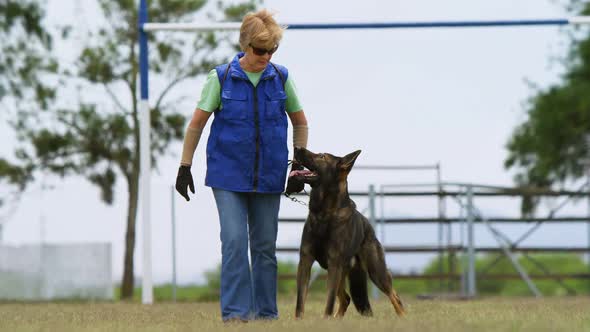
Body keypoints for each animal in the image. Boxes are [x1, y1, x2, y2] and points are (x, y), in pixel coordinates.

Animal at [292, 147, 408, 318]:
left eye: (322, 156)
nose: (296, 148)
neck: (324, 214)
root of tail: (368, 226)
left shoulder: (334, 264)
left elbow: (329, 303)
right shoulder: (306, 262)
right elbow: (300, 302)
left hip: (376, 272)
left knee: (395, 296)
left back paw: (403, 318)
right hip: (339, 271)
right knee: (346, 298)